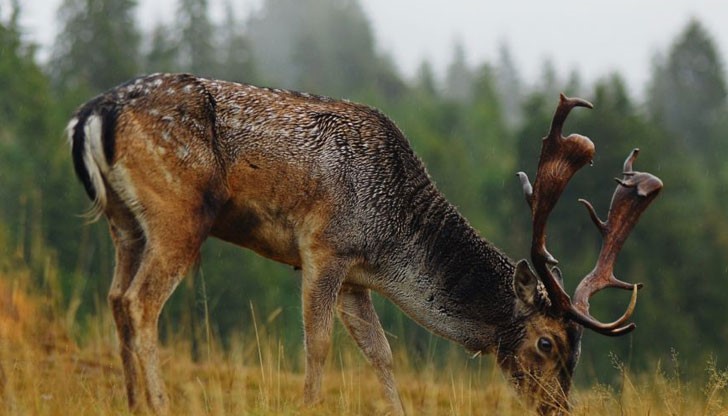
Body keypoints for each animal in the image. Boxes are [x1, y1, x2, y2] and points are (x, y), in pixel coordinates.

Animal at [67, 73, 660, 414]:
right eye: (547, 343)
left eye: (577, 350)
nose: (559, 408)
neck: (389, 239)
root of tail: (91, 115)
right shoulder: (324, 247)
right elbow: (319, 346)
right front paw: (308, 406)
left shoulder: (355, 277)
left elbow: (382, 353)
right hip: (178, 213)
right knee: (139, 303)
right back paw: (158, 404)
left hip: (125, 222)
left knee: (116, 298)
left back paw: (131, 403)